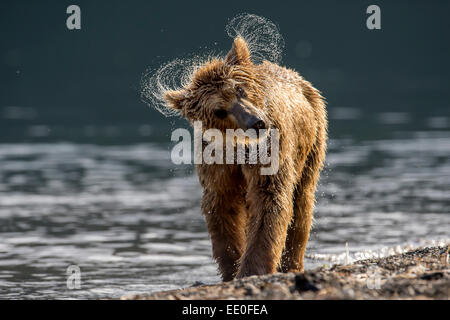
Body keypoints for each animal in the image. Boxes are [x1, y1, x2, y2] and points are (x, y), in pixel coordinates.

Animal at [162, 35, 326, 280]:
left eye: (239, 89)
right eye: (219, 110)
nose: (256, 123)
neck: (238, 146)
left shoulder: (269, 151)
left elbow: (269, 199)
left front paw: (250, 270)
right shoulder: (217, 161)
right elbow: (222, 206)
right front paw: (232, 267)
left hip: (312, 137)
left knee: (301, 202)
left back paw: (291, 264)